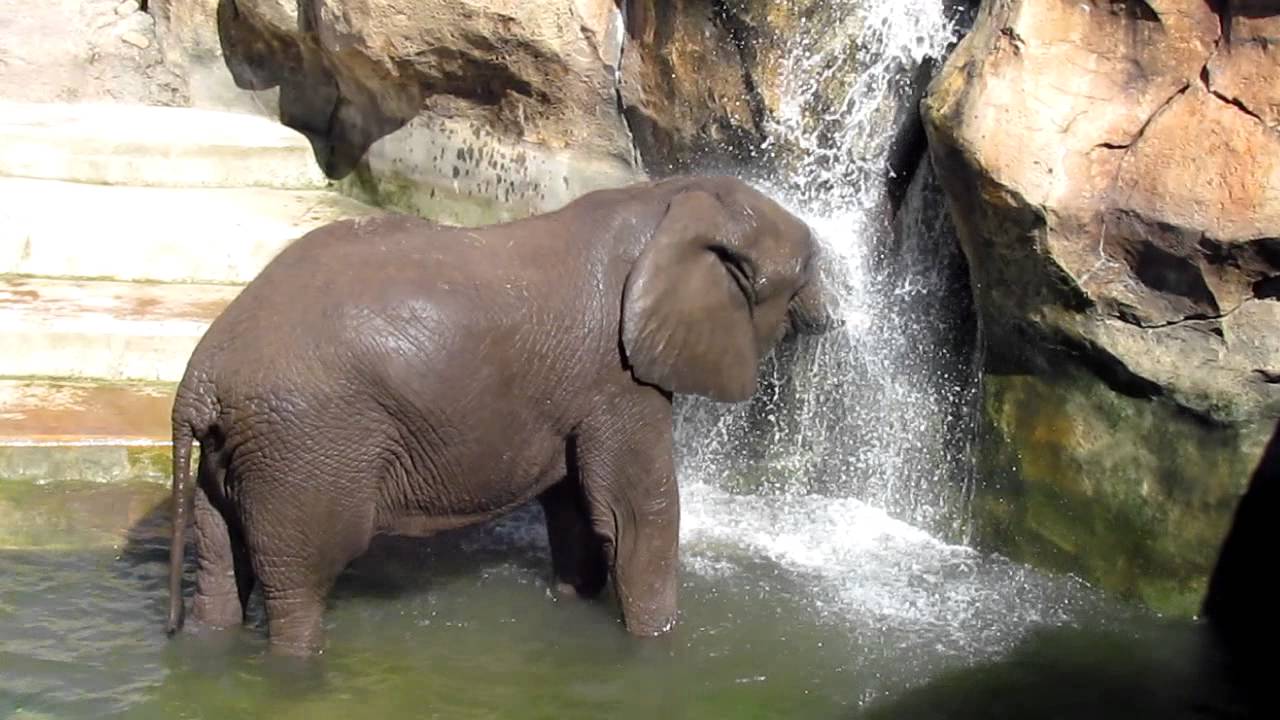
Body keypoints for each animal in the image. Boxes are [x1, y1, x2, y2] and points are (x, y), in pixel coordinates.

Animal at [164, 174, 835, 655]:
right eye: (807, 269)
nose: (832, 320)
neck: (667, 199)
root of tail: (200, 378)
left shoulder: (578, 390)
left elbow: (577, 509)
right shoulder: (617, 378)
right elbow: (638, 515)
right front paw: (659, 646)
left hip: (239, 457)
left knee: (220, 567)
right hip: (303, 449)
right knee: (299, 581)